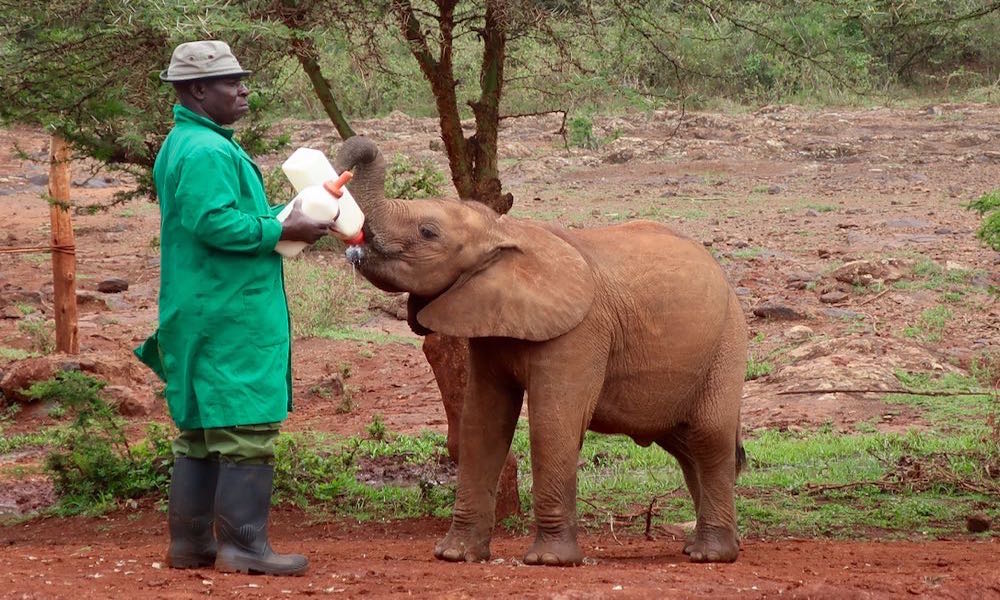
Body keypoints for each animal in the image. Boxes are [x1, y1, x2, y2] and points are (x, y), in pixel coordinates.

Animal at [340, 137, 748, 568]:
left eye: (428, 232)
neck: (504, 229)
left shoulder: (580, 331)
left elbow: (552, 426)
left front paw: (549, 561)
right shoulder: (490, 328)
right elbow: (481, 425)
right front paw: (455, 555)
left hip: (727, 341)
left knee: (709, 437)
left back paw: (709, 555)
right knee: (685, 446)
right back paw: (707, 547)